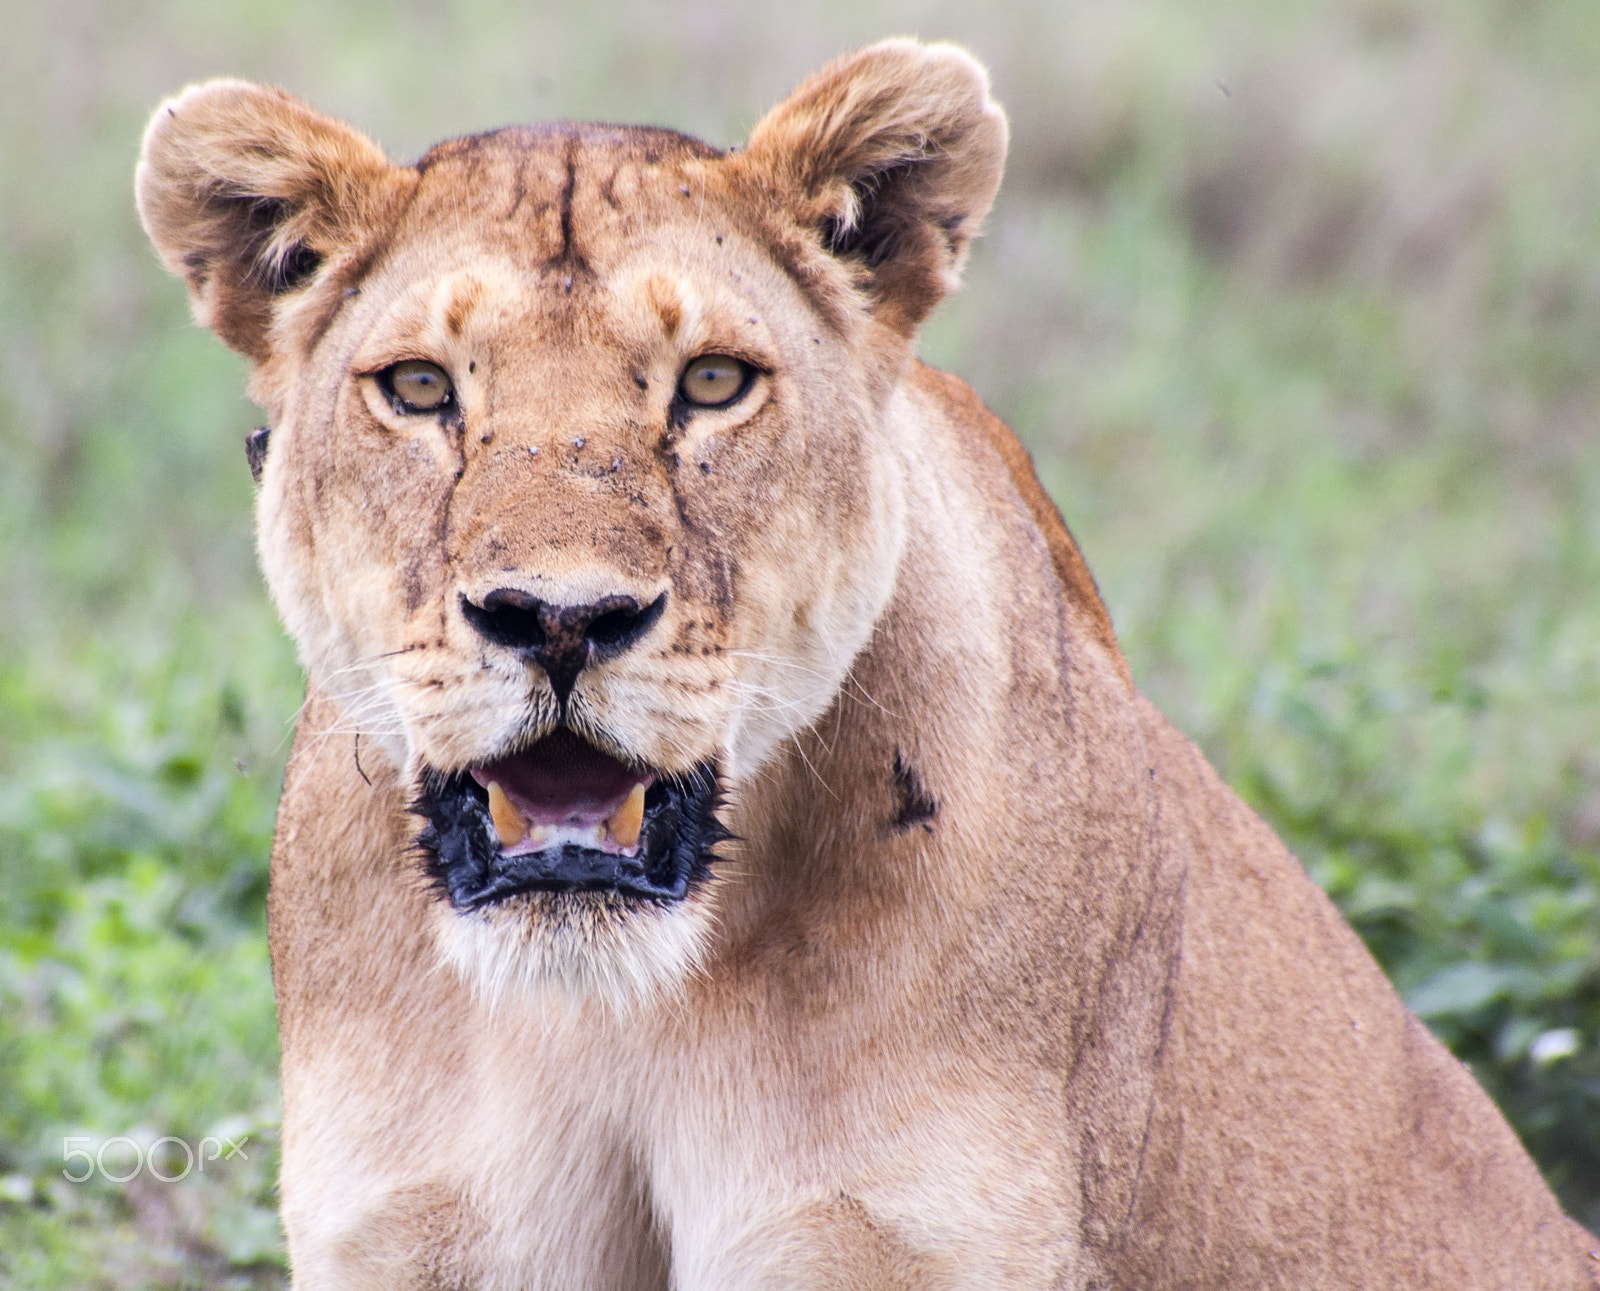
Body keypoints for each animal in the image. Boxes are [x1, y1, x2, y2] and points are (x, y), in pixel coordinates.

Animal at [136, 39, 1597, 1289]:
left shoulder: (890, 1233)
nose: (558, 618)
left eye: (712, 382)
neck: (609, 1013)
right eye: (423, 388)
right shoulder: (418, 1223)